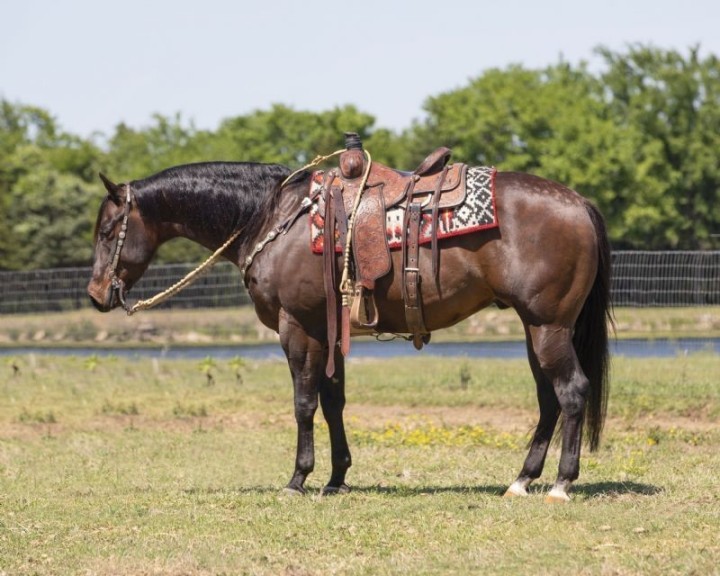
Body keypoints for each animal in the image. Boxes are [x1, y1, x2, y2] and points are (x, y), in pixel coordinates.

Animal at [88, 156, 613, 503]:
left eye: (108, 231)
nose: (95, 295)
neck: (272, 218)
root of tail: (579, 202)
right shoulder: (326, 331)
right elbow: (332, 401)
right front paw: (336, 477)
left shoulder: (297, 328)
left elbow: (303, 403)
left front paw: (298, 479)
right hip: (534, 328)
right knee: (548, 399)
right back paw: (522, 480)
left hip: (548, 326)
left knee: (571, 392)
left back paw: (562, 484)